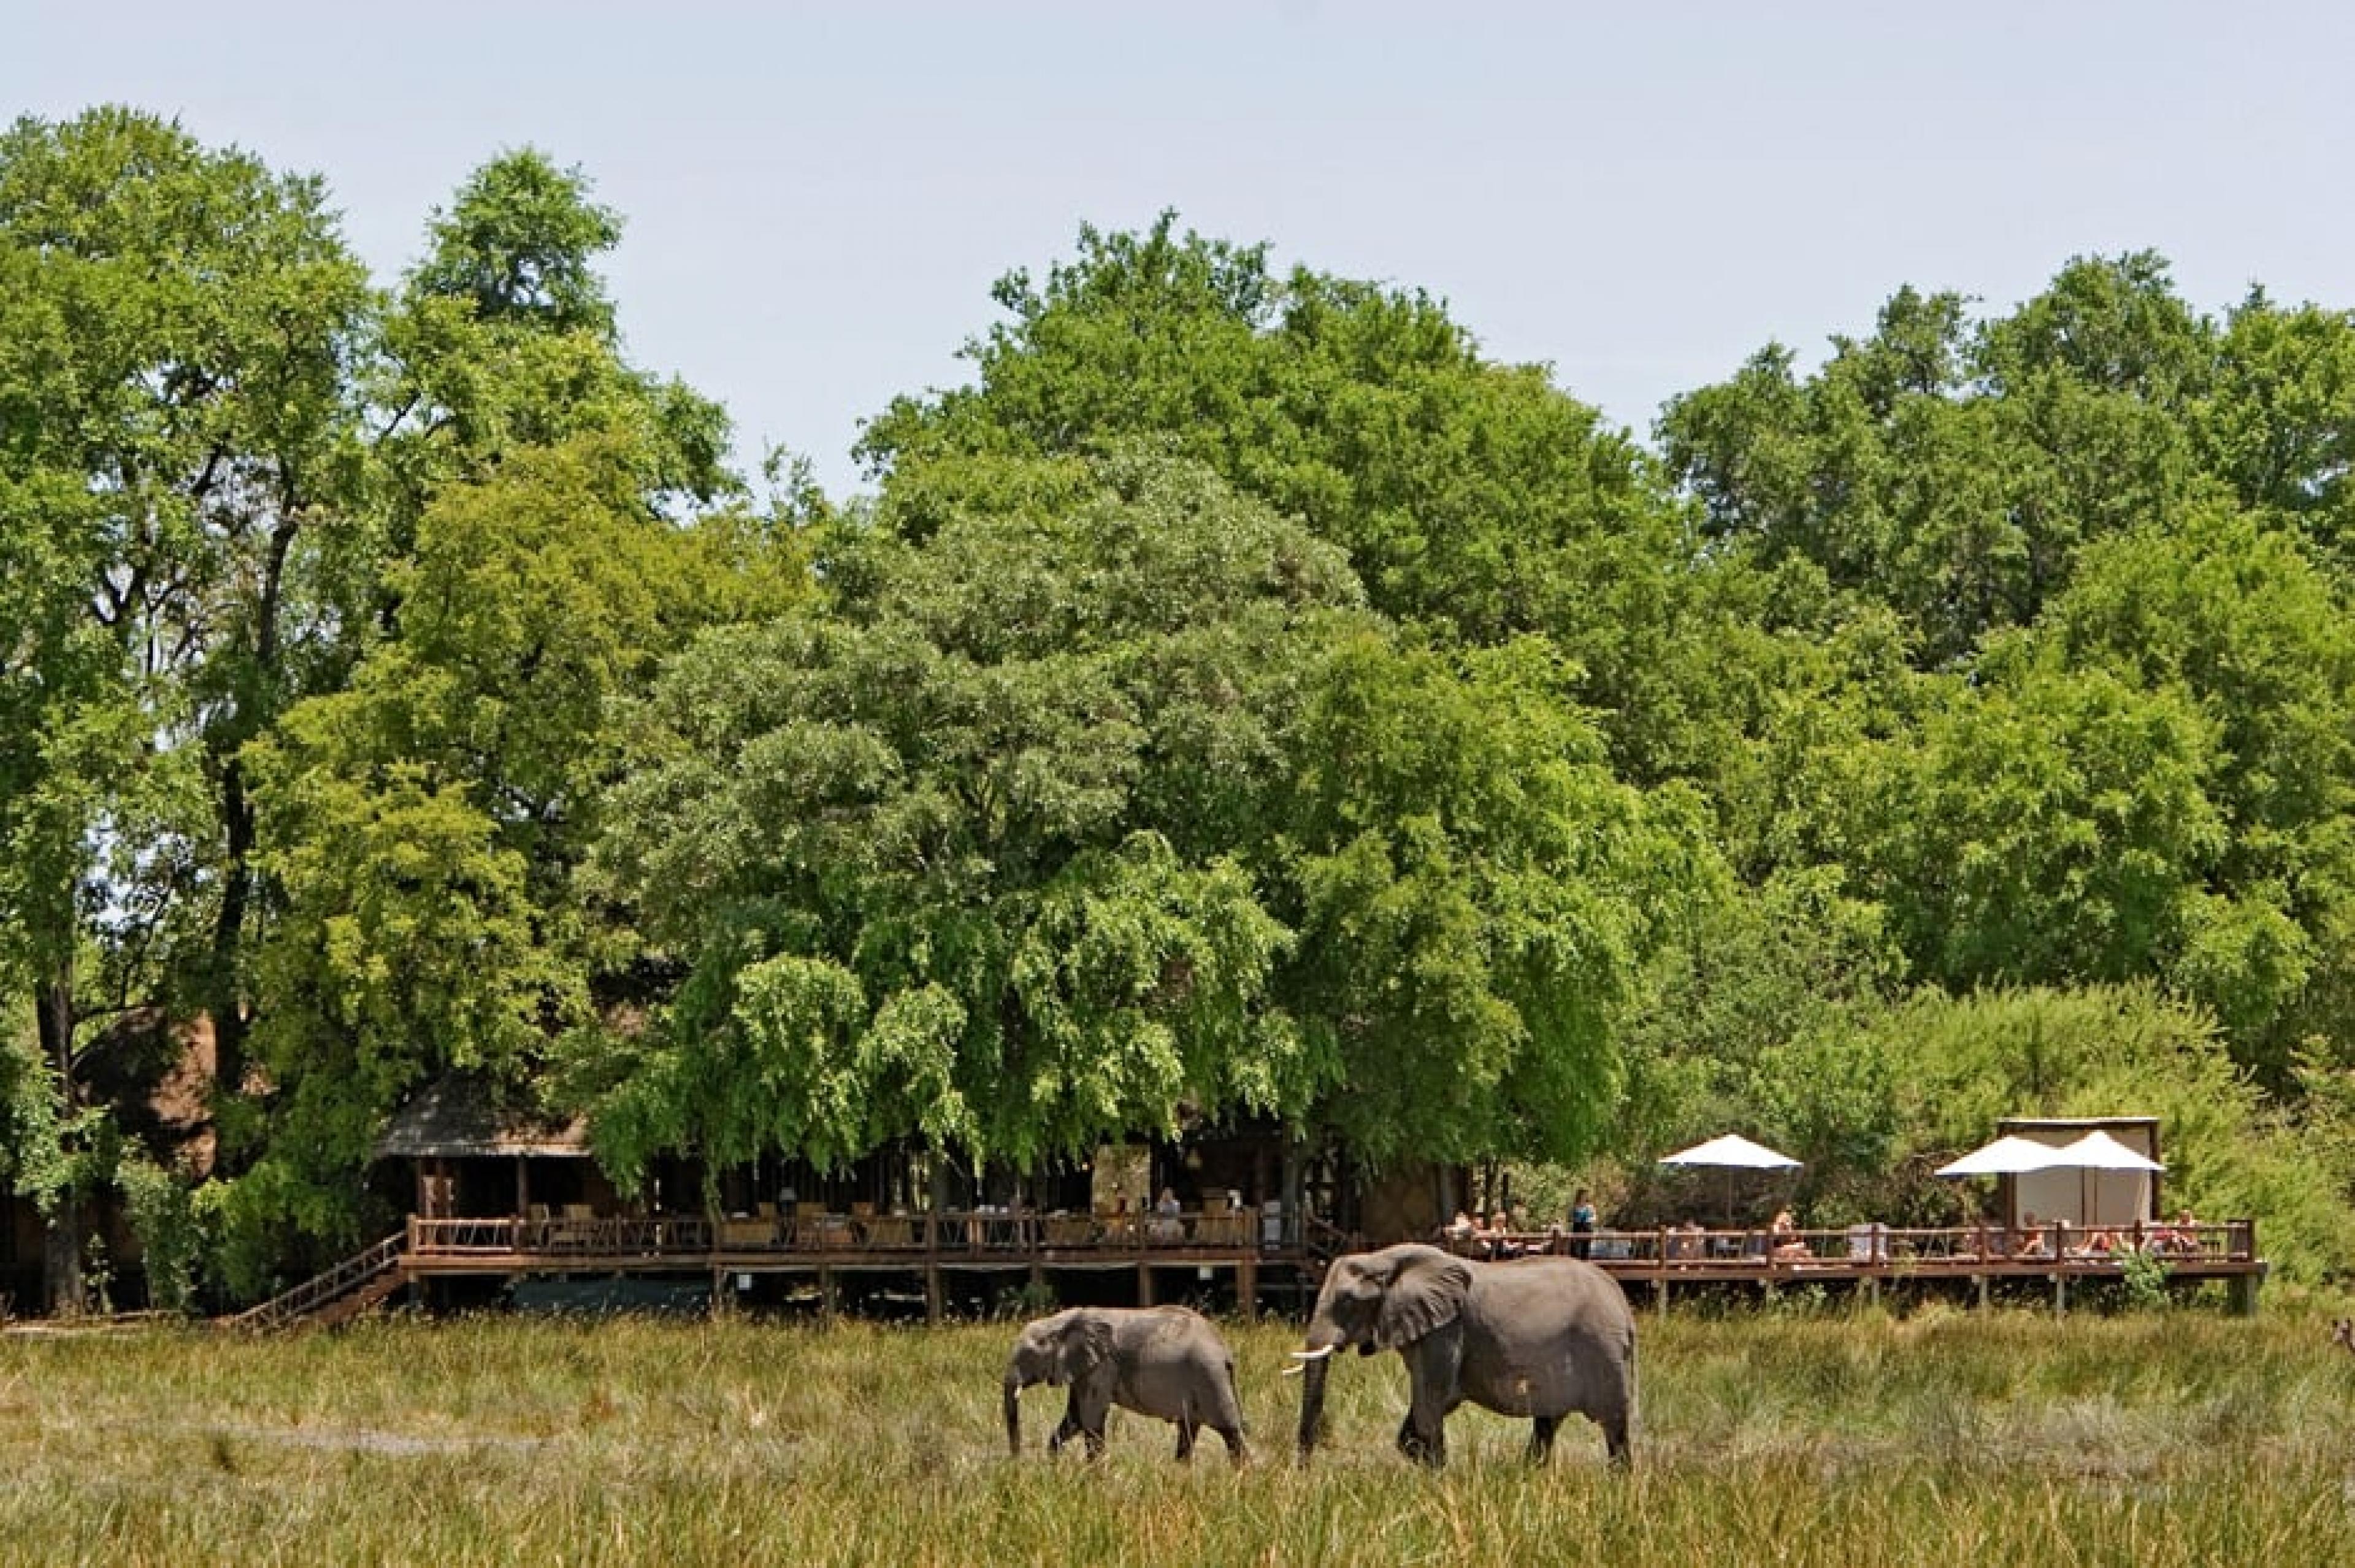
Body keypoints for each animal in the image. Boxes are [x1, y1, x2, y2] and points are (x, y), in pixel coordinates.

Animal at [998, 1299, 1252, 1459]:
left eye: (1026, 1356)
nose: (1017, 1462)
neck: (1062, 1321)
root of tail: (1226, 1353)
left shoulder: (1102, 1367)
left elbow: (1090, 1420)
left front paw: (1095, 1478)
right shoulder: (1084, 1368)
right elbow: (1075, 1419)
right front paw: (1053, 1466)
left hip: (1210, 1377)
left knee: (1230, 1432)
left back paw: (1242, 1480)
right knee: (1188, 1431)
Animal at [1290, 1243, 1639, 1459]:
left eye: (1347, 1301)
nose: (1306, 1472)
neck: (1386, 1258)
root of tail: (1623, 1304)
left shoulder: (1447, 1329)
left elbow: (1435, 1398)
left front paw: (1438, 1482)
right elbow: (1428, 1409)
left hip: (1603, 1350)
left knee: (1614, 1428)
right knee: (1547, 1424)